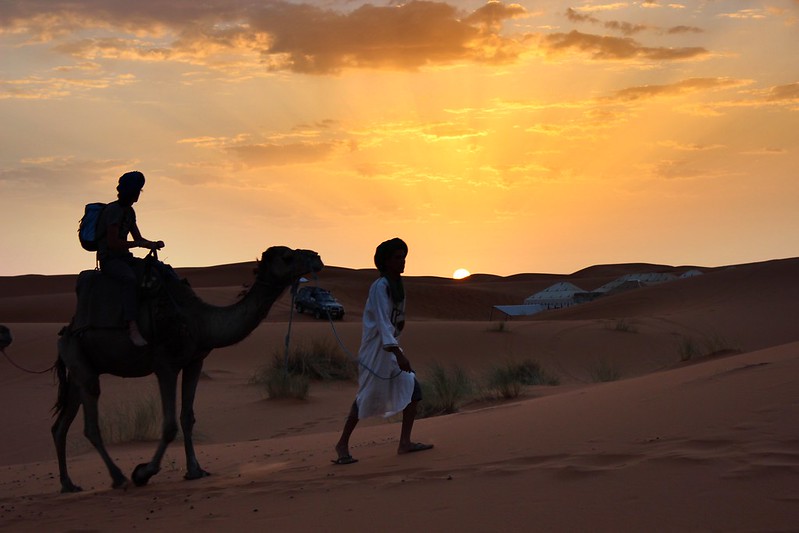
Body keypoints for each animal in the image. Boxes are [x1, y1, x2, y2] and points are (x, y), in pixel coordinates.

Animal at [53, 245, 324, 490]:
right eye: (287, 256)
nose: (316, 257)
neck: (200, 321)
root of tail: (66, 331)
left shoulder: (194, 362)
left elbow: (187, 417)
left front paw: (194, 470)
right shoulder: (166, 365)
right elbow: (170, 425)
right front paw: (143, 473)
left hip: (80, 371)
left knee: (60, 426)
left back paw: (68, 483)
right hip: (81, 361)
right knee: (90, 425)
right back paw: (118, 477)